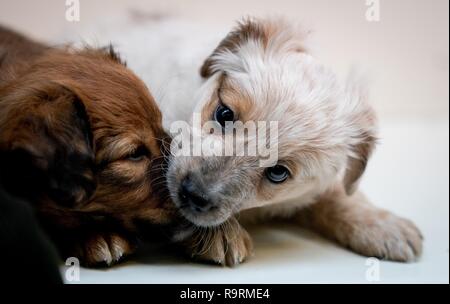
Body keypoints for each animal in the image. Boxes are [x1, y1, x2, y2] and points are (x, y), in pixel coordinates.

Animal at [87, 16, 422, 266]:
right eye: (224, 113)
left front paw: (381, 224)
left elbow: (339, 194)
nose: (192, 194)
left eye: (278, 173)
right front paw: (221, 235)